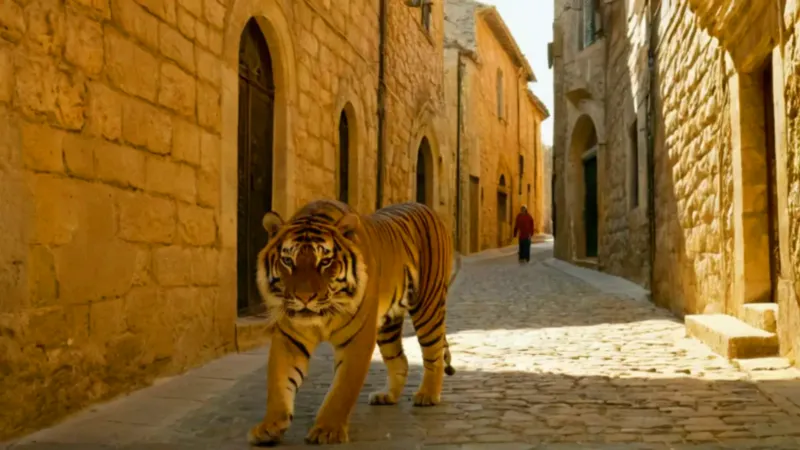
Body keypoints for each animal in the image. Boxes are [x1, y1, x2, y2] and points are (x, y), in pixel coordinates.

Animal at [247, 199, 456, 446]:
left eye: (325, 262)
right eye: (288, 261)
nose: (304, 297)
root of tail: (425, 207)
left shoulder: (357, 339)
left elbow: (342, 388)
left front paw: (327, 430)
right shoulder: (290, 338)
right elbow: (279, 383)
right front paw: (270, 426)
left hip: (428, 306)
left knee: (433, 353)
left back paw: (427, 395)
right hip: (388, 324)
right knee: (400, 359)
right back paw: (387, 395)